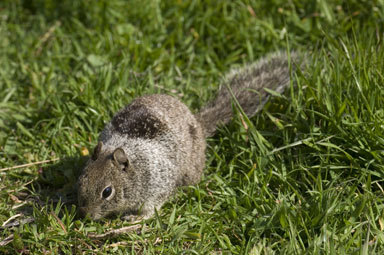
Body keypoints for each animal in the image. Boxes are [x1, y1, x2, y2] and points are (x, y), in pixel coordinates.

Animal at [77, 50, 300, 220]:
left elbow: (151, 209)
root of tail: (198, 123)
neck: (136, 170)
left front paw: (136, 218)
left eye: (107, 192)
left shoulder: (157, 185)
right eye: (81, 181)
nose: (86, 215)